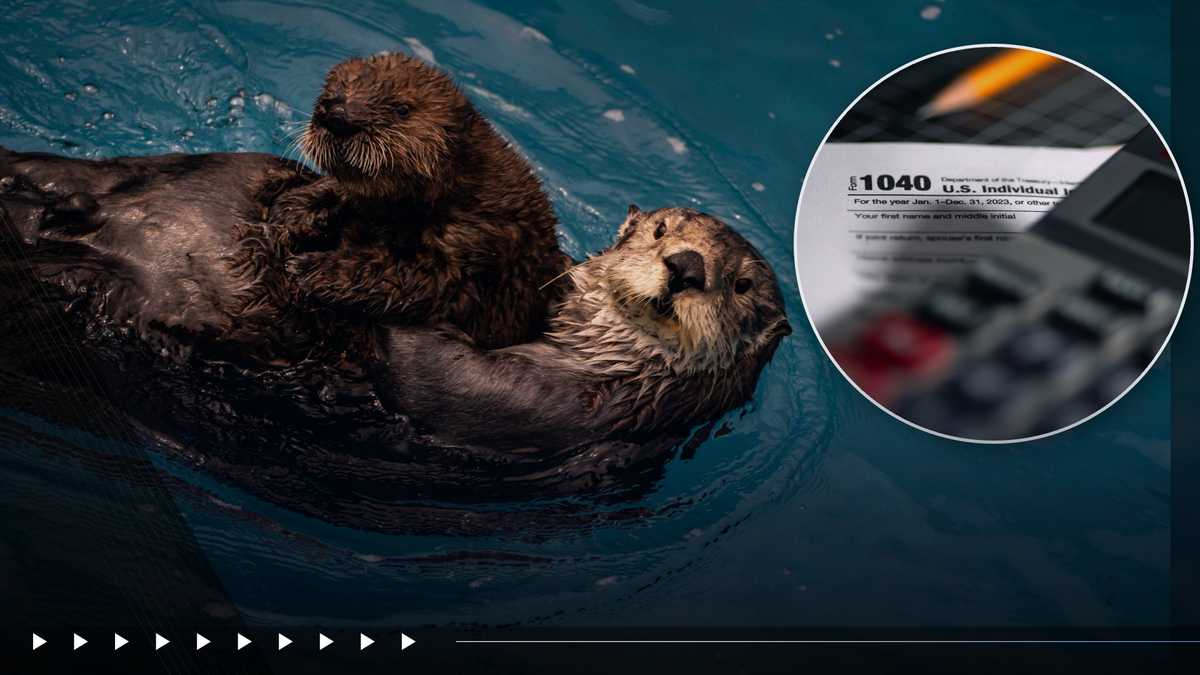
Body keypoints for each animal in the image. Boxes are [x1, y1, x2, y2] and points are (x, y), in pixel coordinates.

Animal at [272, 52, 568, 348]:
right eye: (336, 91)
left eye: (402, 109)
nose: (338, 116)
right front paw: (293, 213)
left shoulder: (469, 247)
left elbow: (408, 280)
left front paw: (310, 268)